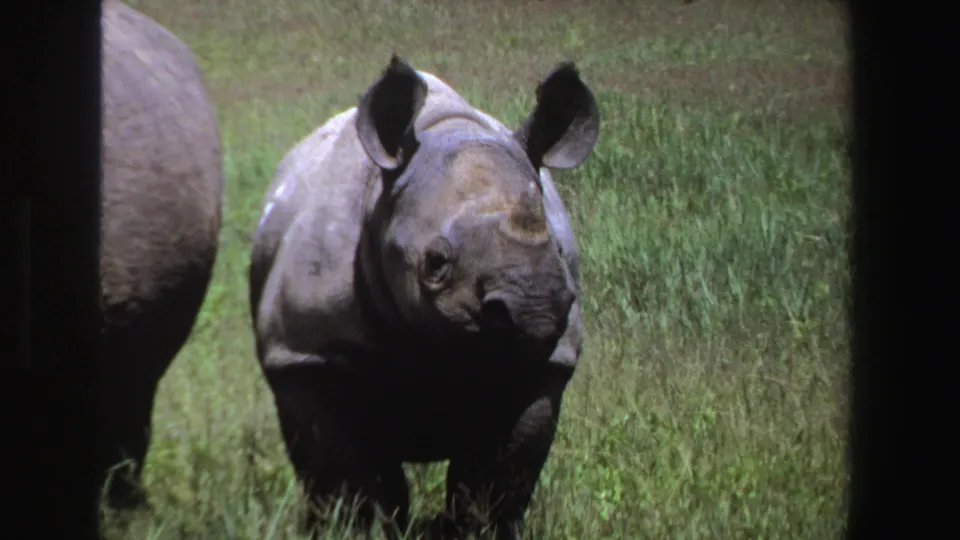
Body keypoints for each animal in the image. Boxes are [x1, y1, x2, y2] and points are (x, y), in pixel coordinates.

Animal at [248, 56, 599, 539]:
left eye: (560, 255)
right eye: (436, 263)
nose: (534, 309)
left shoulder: (542, 363)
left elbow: (494, 483)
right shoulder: (306, 353)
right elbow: (347, 479)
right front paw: (359, 530)